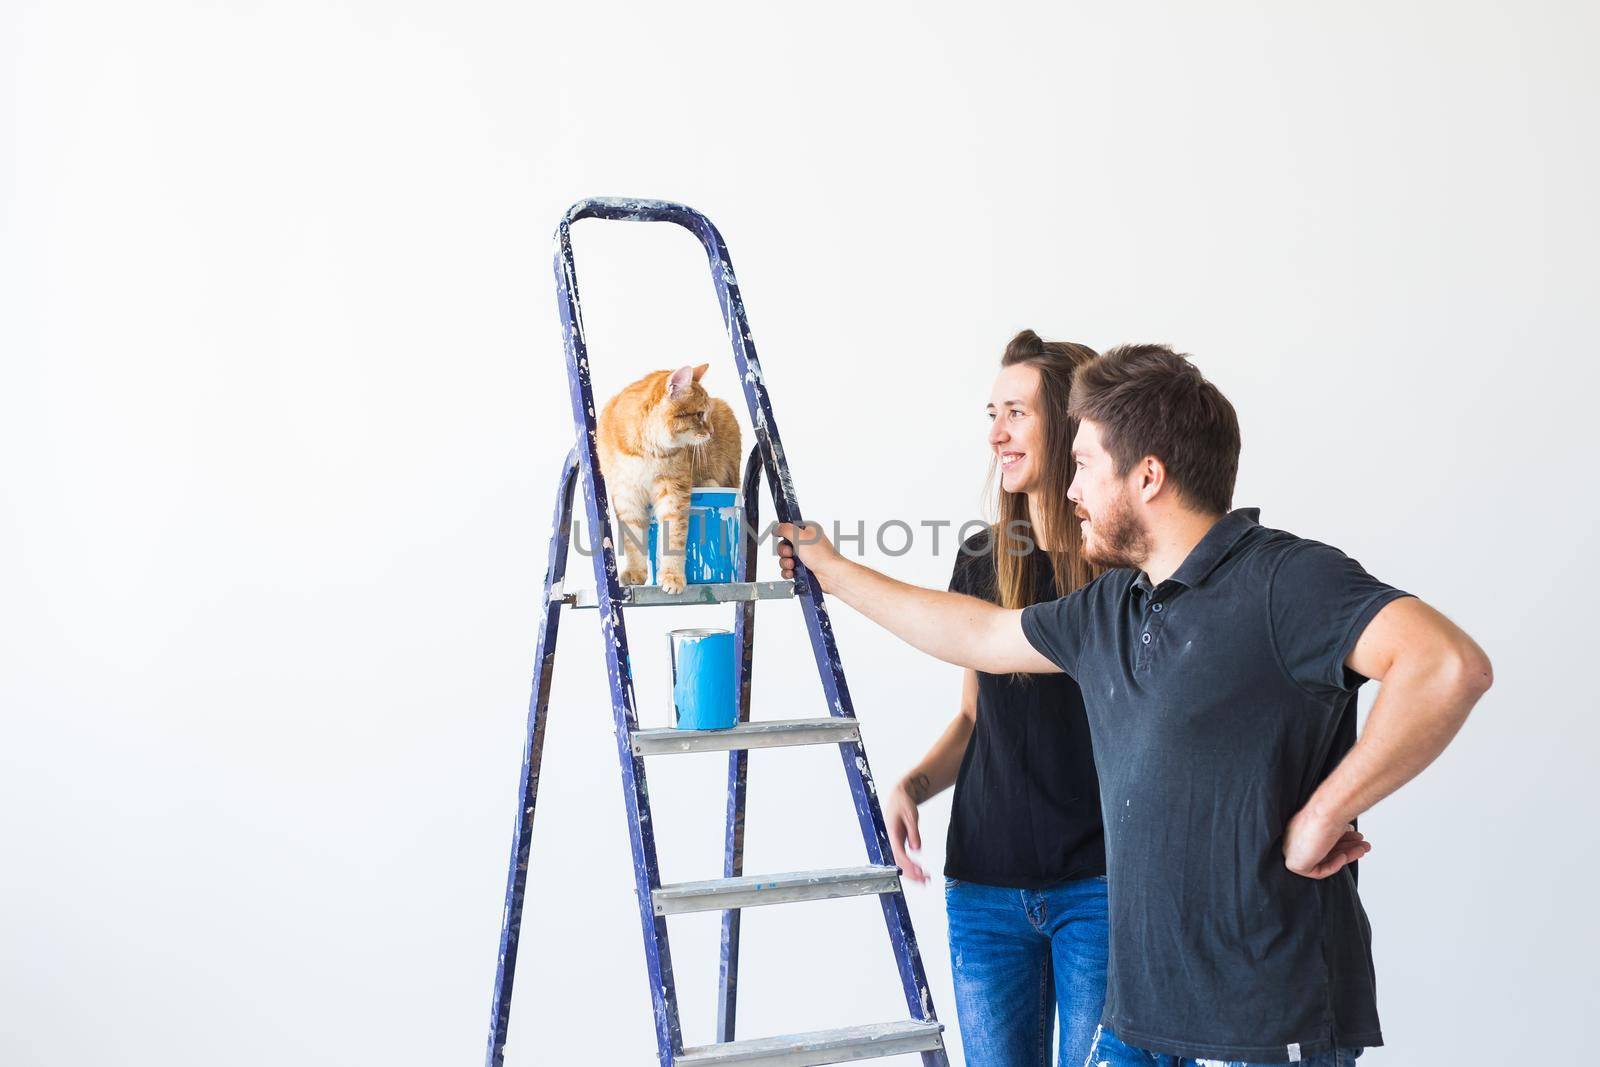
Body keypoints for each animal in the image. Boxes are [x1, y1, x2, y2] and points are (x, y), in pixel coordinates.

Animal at [598, 361, 739, 591]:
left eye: (706, 413)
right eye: (700, 414)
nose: (711, 432)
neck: (646, 450)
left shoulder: (673, 490)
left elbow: (673, 536)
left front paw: (673, 575)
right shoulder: (626, 494)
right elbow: (633, 538)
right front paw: (636, 572)